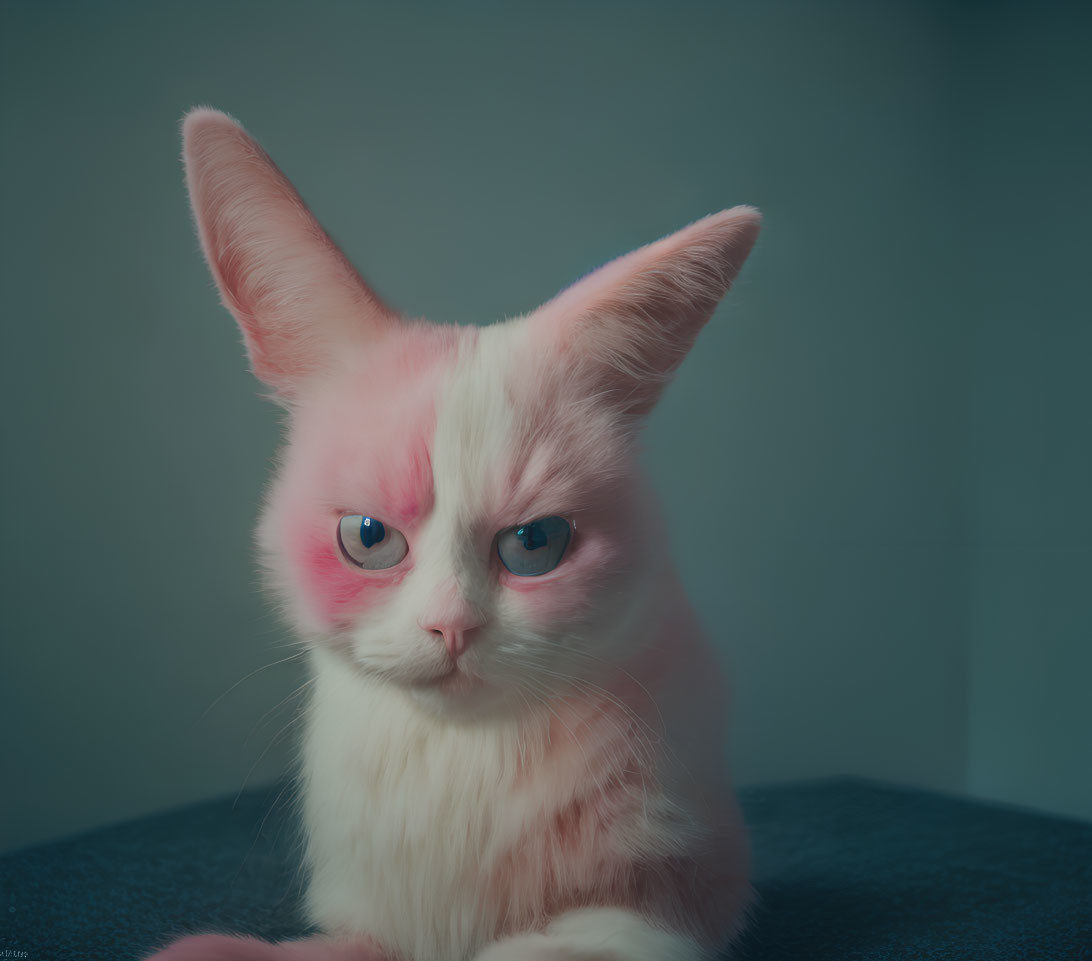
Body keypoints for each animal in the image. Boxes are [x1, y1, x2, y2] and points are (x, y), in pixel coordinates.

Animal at [147, 107, 760, 961]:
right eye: (369, 536)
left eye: (535, 544)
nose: (452, 625)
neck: (458, 762)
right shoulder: (368, 920)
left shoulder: (669, 904)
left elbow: (539, 947)